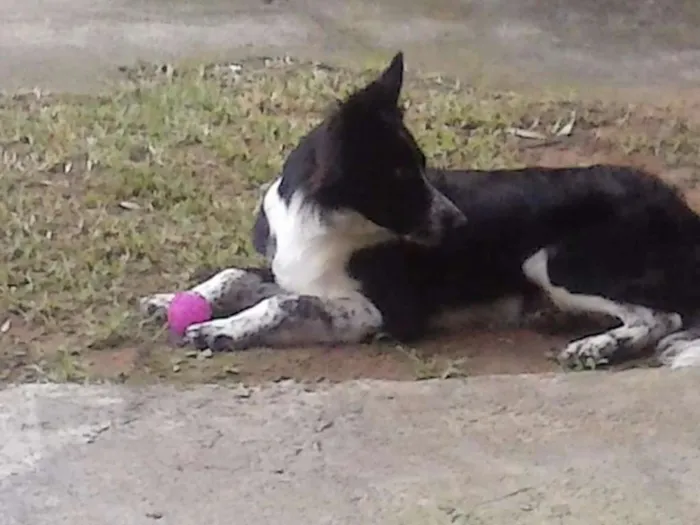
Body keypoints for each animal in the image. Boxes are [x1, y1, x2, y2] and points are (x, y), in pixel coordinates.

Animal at [141, 50, 700, 368]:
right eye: (399, 175)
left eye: (421, 168)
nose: (459, 223)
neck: (326, 222)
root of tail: (683, 209)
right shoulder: (292, 271)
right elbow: (235, 275)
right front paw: (174, 299)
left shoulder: (382, 312)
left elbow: (285, 304)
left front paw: (221, 330)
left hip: (554, 261)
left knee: (662, 316)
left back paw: (601, 347)